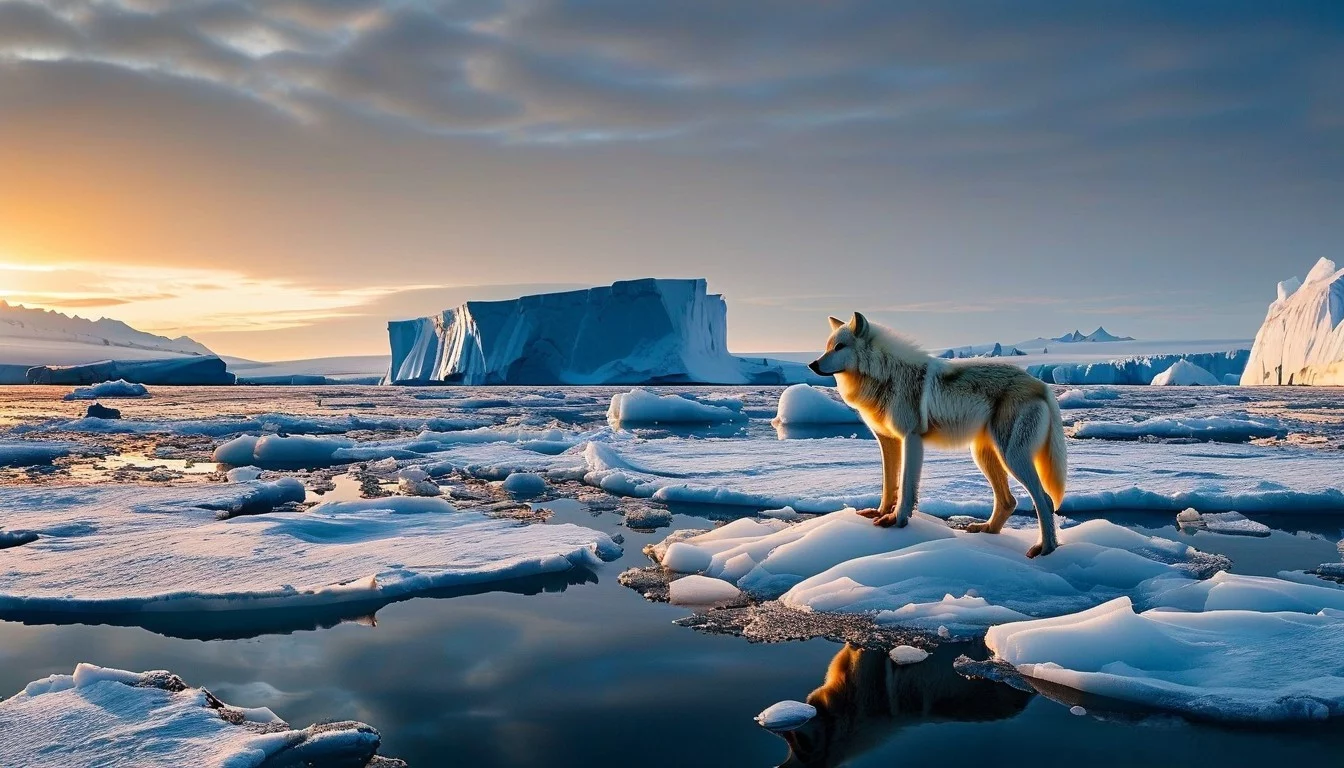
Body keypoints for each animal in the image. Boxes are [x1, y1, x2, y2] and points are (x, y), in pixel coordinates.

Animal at [808, 313, 1067, 557]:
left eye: (840, 347)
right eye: (828, 346)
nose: (812, 364)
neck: (886, 375)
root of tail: (1041, 385)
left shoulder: (911, 438)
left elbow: (905, 487)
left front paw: (896, 521)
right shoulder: (888, 441)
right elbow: (888, 485)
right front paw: (880, 513)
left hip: (1011, 457)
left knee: (1044, 499)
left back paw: (1046, 549)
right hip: (983, 455)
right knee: (1009, 502)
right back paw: (986, 531)